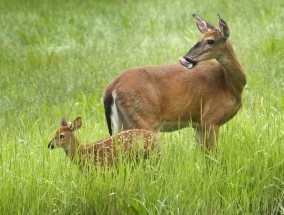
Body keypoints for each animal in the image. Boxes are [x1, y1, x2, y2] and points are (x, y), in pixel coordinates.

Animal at [103, 14, 245, 149]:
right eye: (199, 39)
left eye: (210, 41)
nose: (185, 59)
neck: (230, 85)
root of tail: (112, 88)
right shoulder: (210, 119)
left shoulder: (198, 124)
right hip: (145, 121)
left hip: (122, 124)